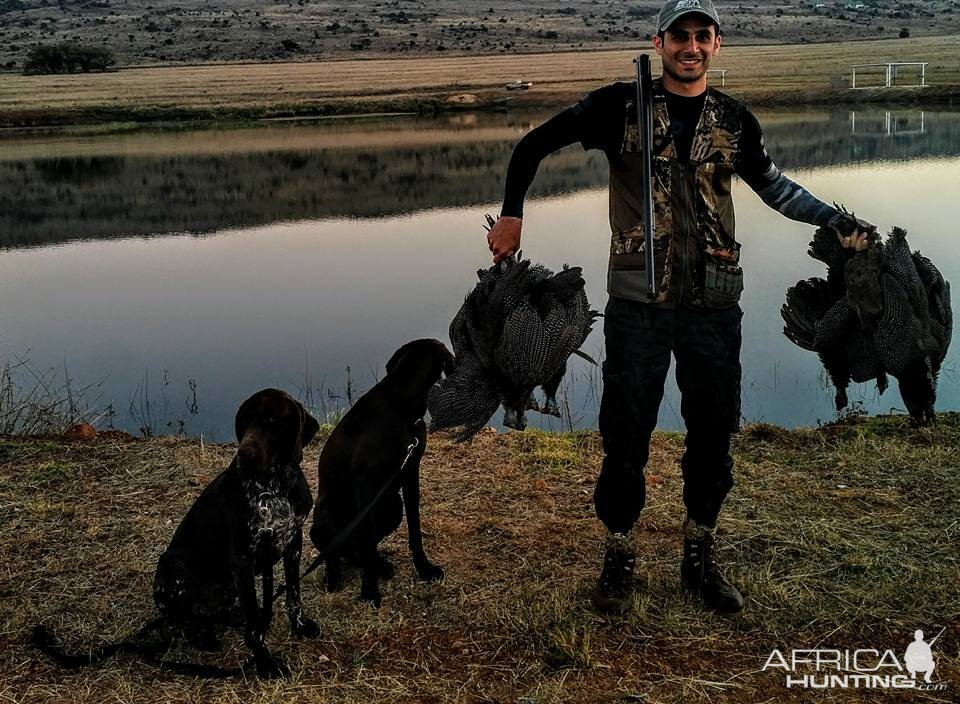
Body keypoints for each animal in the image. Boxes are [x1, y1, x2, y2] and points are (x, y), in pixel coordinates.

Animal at [35, 388, 320, 680]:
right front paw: (265, 662)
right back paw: (203, 636)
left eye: (271, 420)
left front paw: (299, 626)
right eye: (245, 421)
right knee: (178, 623)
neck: (274, 488)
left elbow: (293, 594)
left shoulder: (292, 543)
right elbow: (254, 627)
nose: (243, 454)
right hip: (173, 565)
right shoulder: (242, 558)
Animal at [310, 336, 456, 604]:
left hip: (392, 504)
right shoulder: (365, 486)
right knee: (336, 553)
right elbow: (366, 541)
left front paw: (424, 568)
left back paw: (380, 565)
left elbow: (415, 529)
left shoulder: (410, 472)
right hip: (324, 517)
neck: (401, 406)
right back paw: (334, 577)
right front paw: (369, 591)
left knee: (358, 552)